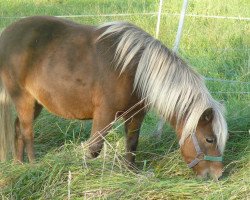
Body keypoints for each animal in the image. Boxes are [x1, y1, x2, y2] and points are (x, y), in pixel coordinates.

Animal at [0, 16, 229, 180]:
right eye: (210, 139)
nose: (218, 174)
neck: (135, 70)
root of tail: (7, 34)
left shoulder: (136, 113)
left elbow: (132, 143)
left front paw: (131, 172)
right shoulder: (105, 114)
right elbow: (94, 148)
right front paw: (86, 173)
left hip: (35, 103)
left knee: (18, 129)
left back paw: (19, 165)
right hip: (24, 100)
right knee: (27, 133)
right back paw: (33, 165)